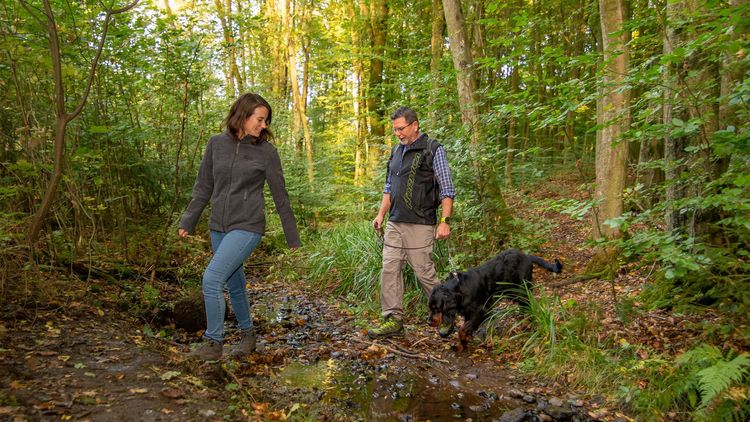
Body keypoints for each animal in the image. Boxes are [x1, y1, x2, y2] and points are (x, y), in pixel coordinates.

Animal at [428, 249, 564, 352]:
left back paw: (526, 322)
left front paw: (463, 340)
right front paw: (462, 344)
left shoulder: (482, 310)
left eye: (437, 308)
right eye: (430, 307)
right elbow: (466, 327)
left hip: (521, 288)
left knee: (528, 304)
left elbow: (463, 329)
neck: (460, 288)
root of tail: (526, 255)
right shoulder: (468, 312)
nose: (429, 322)